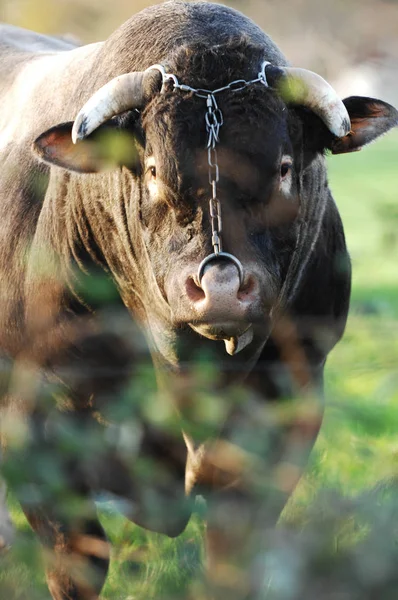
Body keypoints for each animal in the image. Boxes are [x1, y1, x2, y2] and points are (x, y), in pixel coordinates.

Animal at [0, 2, 396, 596]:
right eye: (153, 170)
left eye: (284, 167)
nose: (221, 287)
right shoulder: (37, 423)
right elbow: (81, 561)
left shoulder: (289, 403)